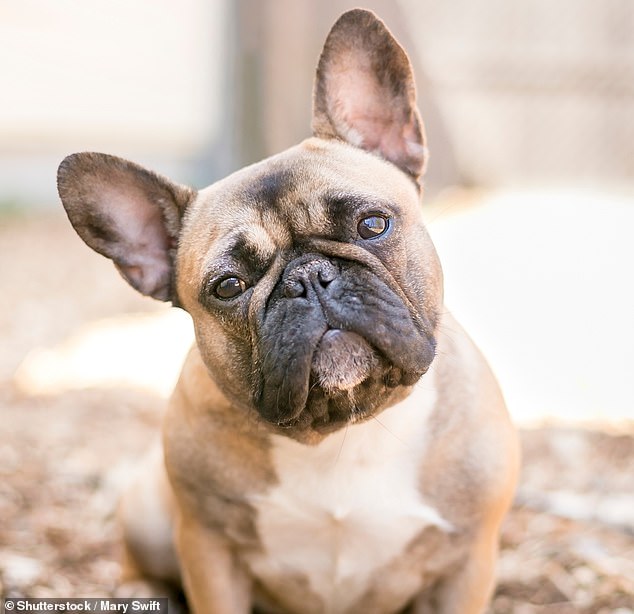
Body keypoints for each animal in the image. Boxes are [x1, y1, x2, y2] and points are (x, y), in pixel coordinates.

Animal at [56, 9, 516, 614]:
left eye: (373, 224)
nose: (308, 278)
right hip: (152, 512)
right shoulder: (209, 552)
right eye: (229, 286)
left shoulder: (466, 560)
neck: (345, 429)